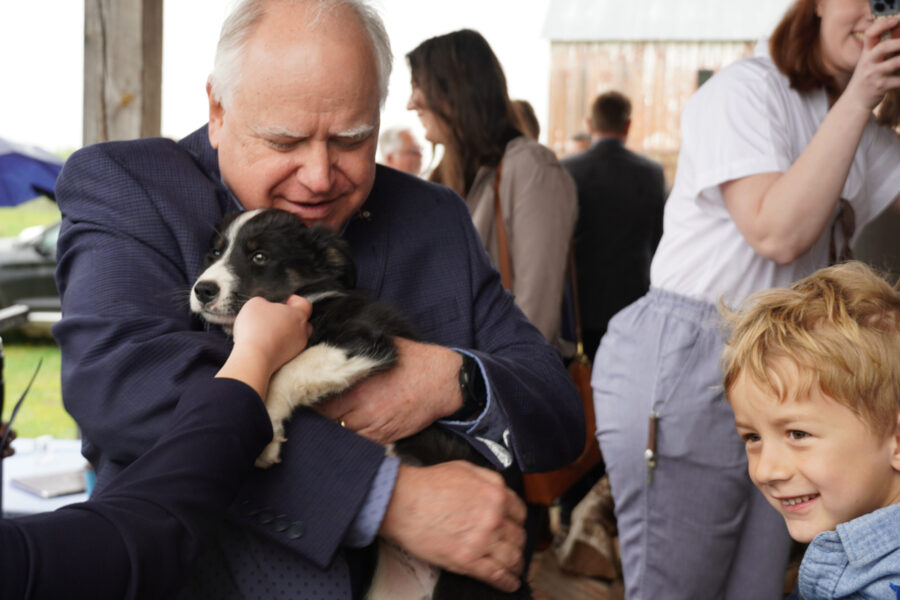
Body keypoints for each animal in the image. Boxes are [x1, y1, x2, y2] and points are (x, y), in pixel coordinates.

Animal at [190, 210, 528, 600]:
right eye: (215, 253)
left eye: (259, 257)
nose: (203, 289)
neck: (310, 297)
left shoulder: (361, 340)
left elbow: (288, 369)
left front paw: (268, 434)